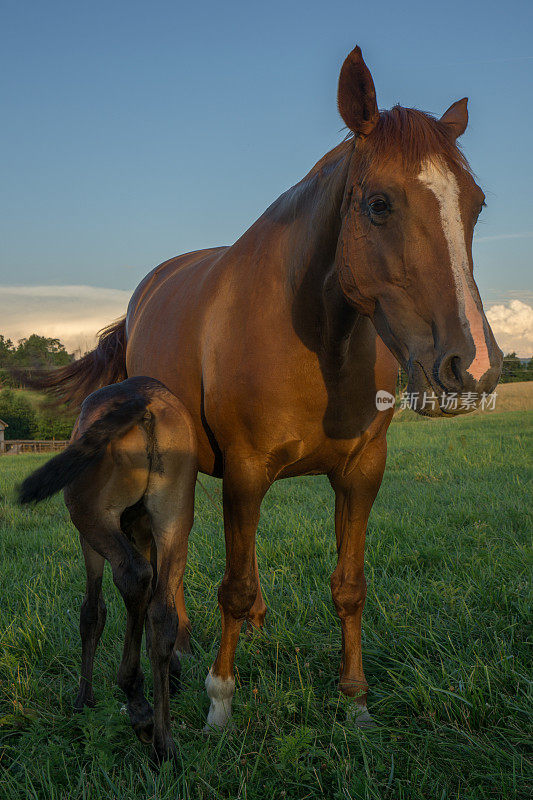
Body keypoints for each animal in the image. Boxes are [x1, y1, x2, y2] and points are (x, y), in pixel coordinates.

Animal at [18, 376, 198, 764]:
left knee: (134, 577)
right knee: (161, 612)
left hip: (93, 517)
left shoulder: (89, 542)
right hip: (174, 518)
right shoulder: (145, 534)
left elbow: (92, 612)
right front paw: (172, 676)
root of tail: (141, 400)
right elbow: (151, 613)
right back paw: (164, 742)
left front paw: (83, 700)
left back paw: (138, 705)